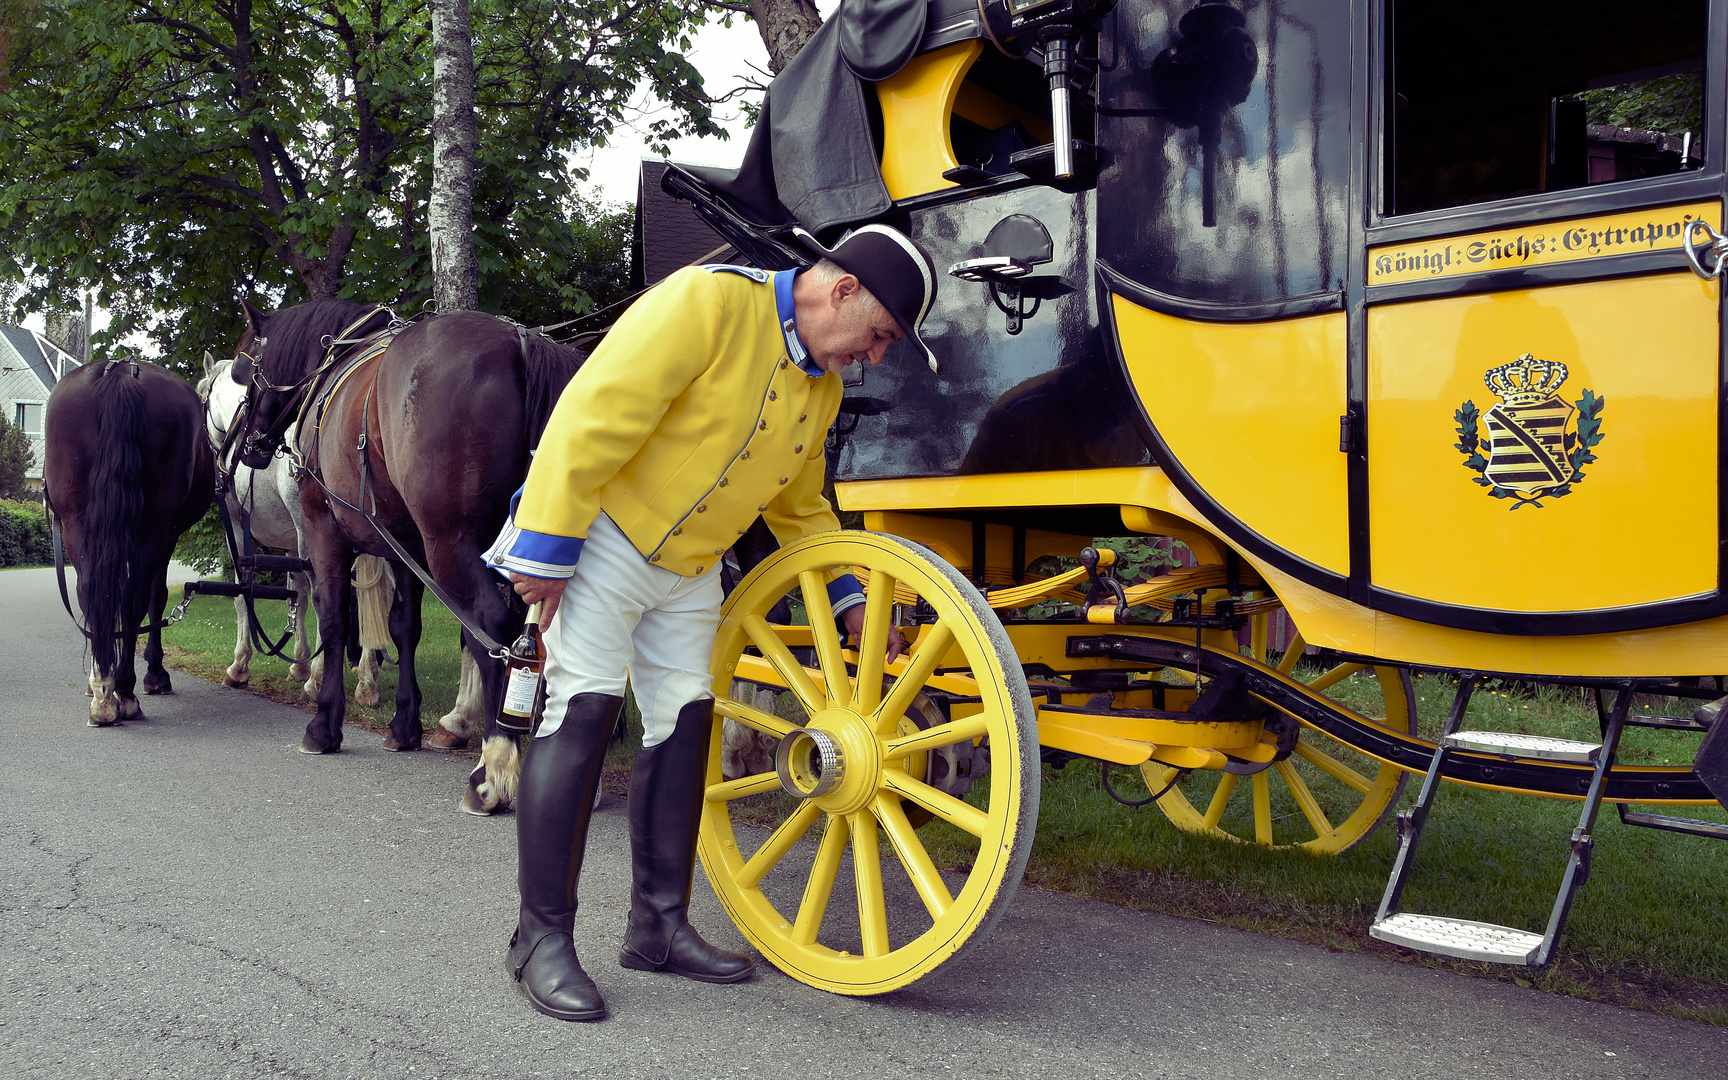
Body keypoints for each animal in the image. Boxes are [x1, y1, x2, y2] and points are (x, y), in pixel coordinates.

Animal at [44, 359, 214, 725]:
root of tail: (121, 370)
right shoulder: (168, 534)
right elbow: (156, 596)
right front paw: (156, 674)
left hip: (78, 521)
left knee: (93, 589)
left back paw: (106, 689)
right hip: (150, 526)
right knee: (127, 593)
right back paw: (120, 690)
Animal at [199, 354, 483, 739]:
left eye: (202, 394)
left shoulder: (247, 526)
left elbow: (247, 594)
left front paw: (245, 664)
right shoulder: (296, 543)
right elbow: (297, 597)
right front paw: (301, 663)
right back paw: (367, 678)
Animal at [229, 295, 587, 808]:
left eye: (244, 368)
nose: (246, 444)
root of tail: (521, 342)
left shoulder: (324, 530)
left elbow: (334, 619)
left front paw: (324, 724)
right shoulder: (405, 546)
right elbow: (404, 627)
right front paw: (403, 725)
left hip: (450, 545)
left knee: (491, 625)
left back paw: (495, 764)